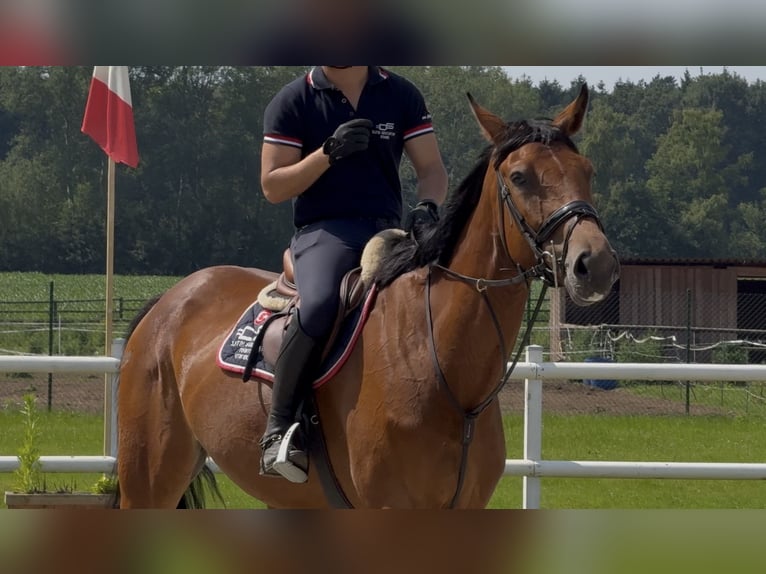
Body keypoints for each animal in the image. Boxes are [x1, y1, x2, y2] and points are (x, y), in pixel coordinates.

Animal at [117, 84, 619, 508]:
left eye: (588, 172)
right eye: (519, 177)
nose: (594, 263)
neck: (440, 365)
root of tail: (169, 300)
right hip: (149, 480)